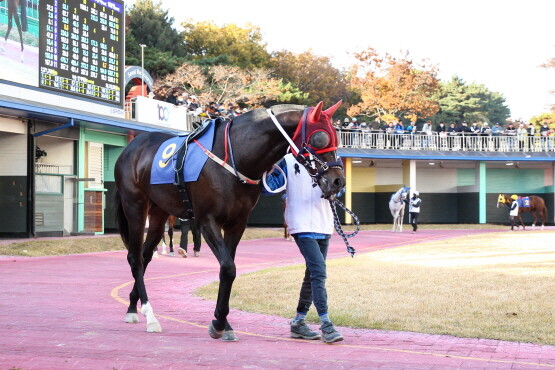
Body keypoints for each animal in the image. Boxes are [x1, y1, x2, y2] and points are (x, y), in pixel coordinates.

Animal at [115, 101, 346, 342]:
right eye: (319, 138)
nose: (337, 181)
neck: (235, 156)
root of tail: (132, 147)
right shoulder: (207, 221)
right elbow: (228, 268)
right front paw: (218, 323)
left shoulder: (237, 223)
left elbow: (228, 268)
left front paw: (223, 323)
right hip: (135, 206)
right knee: (135, 258)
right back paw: (150, 316)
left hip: (159, 212)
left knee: (145, 256)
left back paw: (132, 306)